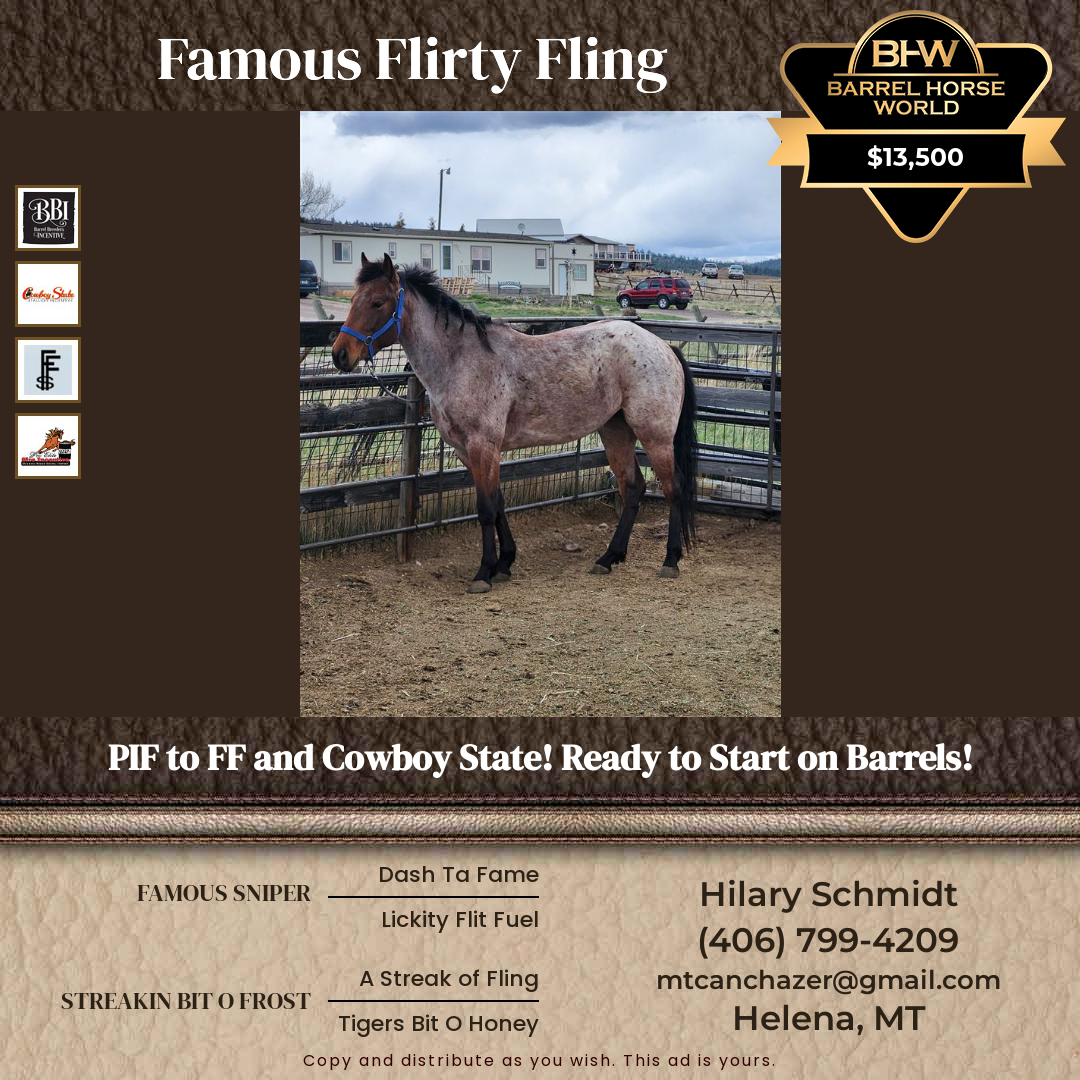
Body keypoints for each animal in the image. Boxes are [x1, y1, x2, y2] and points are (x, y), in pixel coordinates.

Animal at [332, 253, 697, 595]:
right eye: (353, 299)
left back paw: (670, 560)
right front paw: (505, 563)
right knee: (633, 488)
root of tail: (664, 347)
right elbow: (497, 503)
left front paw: (484, 573)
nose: (340, 354)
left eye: (378, 302)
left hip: (655, 436)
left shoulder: (483, 445)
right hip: (615, 431)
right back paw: (609, 558)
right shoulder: (468, 451)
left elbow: (485, 509)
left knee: (673, 487)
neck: (461, 360)